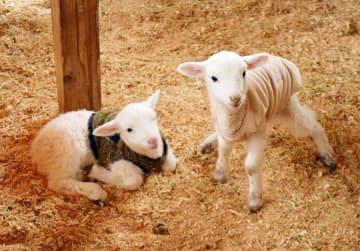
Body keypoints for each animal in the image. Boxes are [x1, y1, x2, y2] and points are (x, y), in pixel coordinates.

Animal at [31, 90, 177, 204]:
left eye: (154, 118)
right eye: (129, 130)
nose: (153, 141)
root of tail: (36, 151)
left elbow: (172, 164)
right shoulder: (118, 162)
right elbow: (133, 181)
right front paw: (96, 171)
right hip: (68, 152)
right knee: (58, 182)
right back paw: (95, 191)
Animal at [177, 52, 338, 213]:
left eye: (244, 73)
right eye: (214, 78)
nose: (235, 98)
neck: (234, 116)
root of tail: (275, 57)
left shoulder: (258, 131)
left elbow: (251, 166)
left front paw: (255, 199)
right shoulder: (224, 128)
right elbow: (224, 150)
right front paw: (220, 173)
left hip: (286, 106)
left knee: (312, 124)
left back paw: (327, 154)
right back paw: (208, 144)